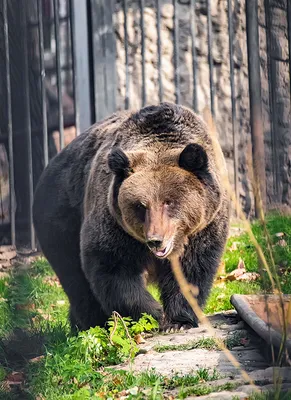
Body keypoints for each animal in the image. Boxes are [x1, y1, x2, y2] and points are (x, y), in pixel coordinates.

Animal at [33, 102, 230, 332]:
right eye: (141, 205)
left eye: (169, 201)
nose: (155, 240)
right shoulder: (114, 223)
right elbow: (114, 269)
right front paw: (153, 314)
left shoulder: (204, 228)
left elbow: (191, 271)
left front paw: (179, 321)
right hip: (60, 220)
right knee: (76, 278)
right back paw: (91, 323)